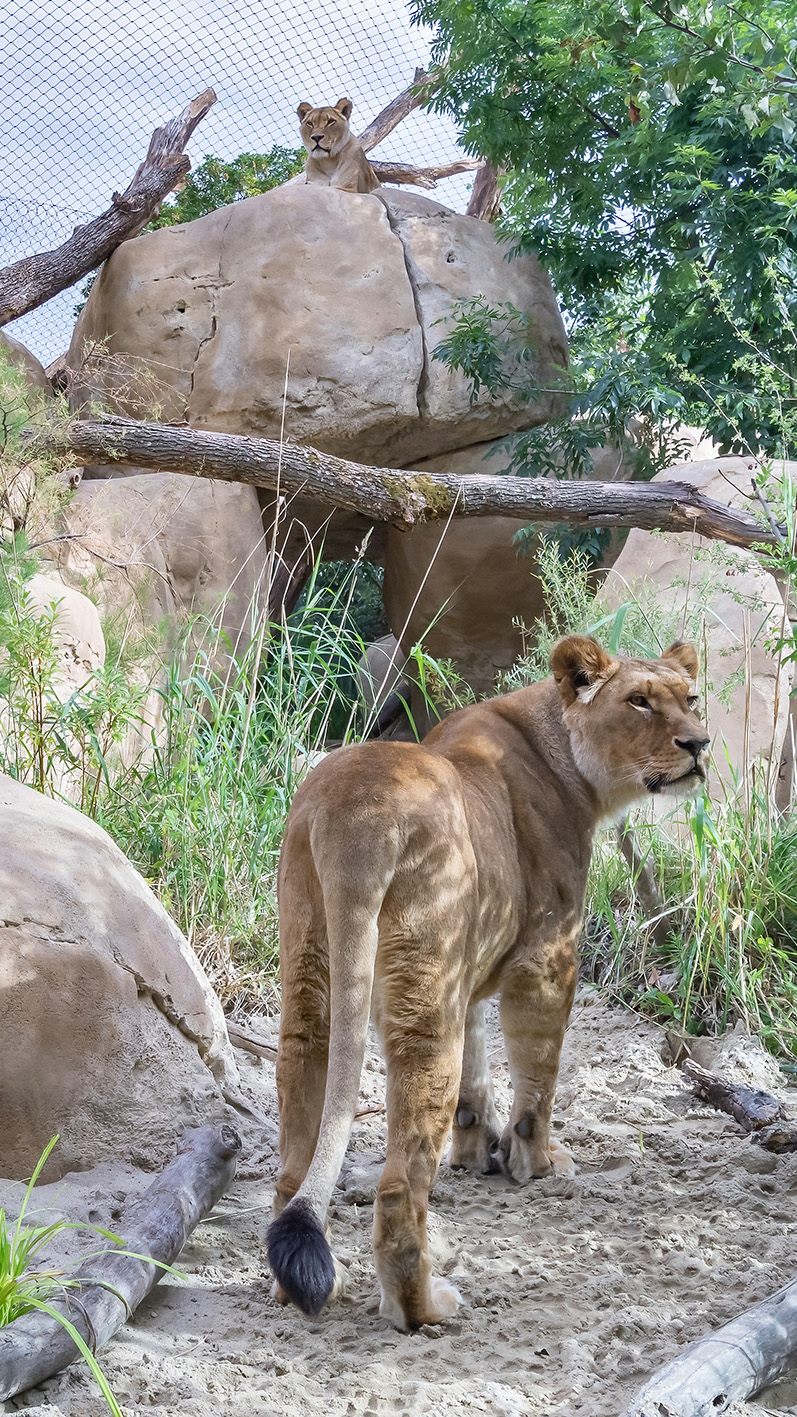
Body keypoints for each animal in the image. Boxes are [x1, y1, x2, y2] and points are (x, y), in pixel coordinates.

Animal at [267, 636, 708, 1331]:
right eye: (638, 701)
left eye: (690, 697)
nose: (701, 744)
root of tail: (352, 812)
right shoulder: (548, 956)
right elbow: (538, 1072)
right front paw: (537, 1161)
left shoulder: (470, 968)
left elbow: (479, 1065)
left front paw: (477, 1148)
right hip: (425, 986)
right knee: (399, 1186)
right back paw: (423, 1307)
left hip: (316, 963)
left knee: (296, 1146)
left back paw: (304, 1289)